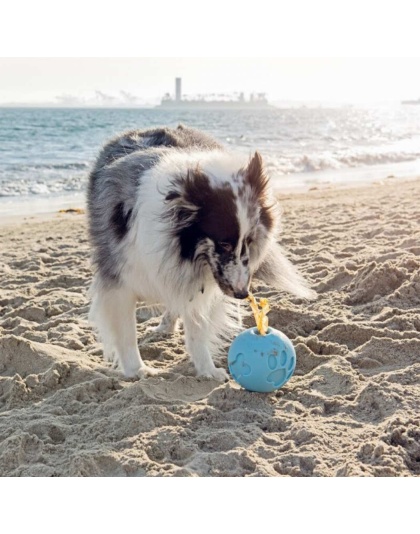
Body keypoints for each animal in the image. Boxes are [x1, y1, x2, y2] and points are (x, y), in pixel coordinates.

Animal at [87, 126, 314, 382]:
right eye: (224, 243)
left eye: (249, 240)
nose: (242, 294)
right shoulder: (119, 281)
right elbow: (127, 333)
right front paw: (138, 370)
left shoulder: (197, 284)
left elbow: (197, 328)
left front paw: (208, 370)